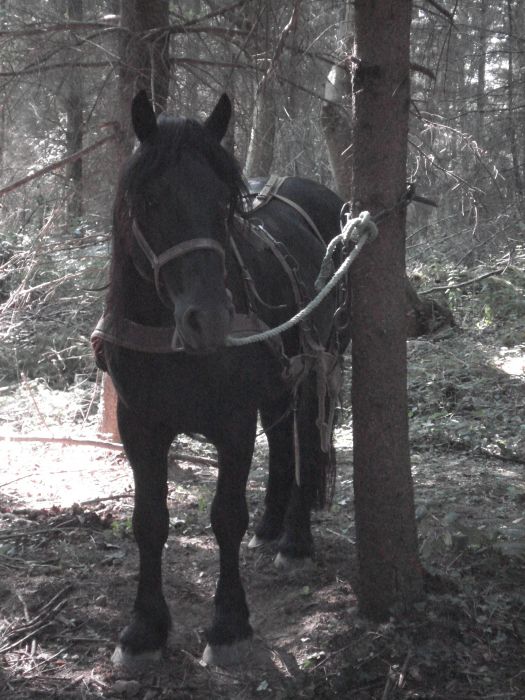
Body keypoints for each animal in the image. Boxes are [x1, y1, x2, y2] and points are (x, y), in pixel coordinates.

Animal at [95, 93, 346, 668]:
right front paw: (144, 629)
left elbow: (226, 516)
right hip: (280, 381)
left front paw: (229, 624)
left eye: (224, 205)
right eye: (150, 201)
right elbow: (149, 521)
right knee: (282, 441)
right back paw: (271, 527)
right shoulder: (139, 425)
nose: (208, 319)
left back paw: (295, 541)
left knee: (302, 442)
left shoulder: (233, 422)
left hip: (311, 370)